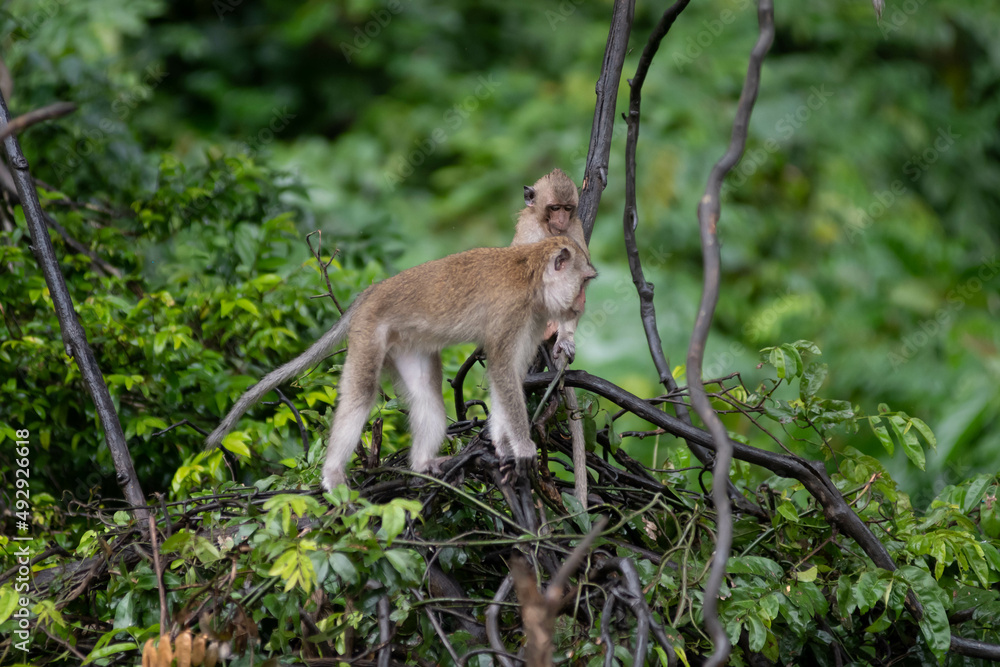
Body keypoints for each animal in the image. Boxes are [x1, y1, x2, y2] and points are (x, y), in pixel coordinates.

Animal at [203, 237, 592, 494]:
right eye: (584, 282)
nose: (581, 306)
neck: (532, 277)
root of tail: (371, 292)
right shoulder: (512, 312)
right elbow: (501, 370)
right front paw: (523, 447)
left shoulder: (532, 318)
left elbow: (506, 376)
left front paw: (501, 443)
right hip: (369, 330)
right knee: (361, 394)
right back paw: (332, 474)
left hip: (406, 343)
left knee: (426, 398)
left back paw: (422, 465)